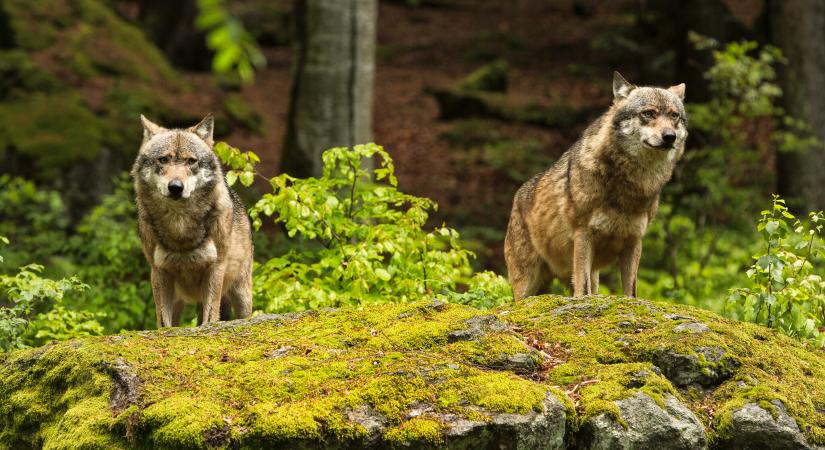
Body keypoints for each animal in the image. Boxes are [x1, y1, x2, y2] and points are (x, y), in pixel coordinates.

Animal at [130, 113, 253, 326]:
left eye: (191, 161)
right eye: (164, 159)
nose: (175, 187)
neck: (180, 226)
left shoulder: (216, 268)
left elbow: (210, 318)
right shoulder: (158, 271)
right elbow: (164, 323)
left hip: (241, 296)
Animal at [506, 72, 684, 300]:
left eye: (674, 116)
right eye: (649, 113)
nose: (670, 136)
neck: (630, 185)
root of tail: (516, 197)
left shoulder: (634, 240)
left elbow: (630, 292)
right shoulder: (583, 235)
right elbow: (583, 290)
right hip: (526, 286)